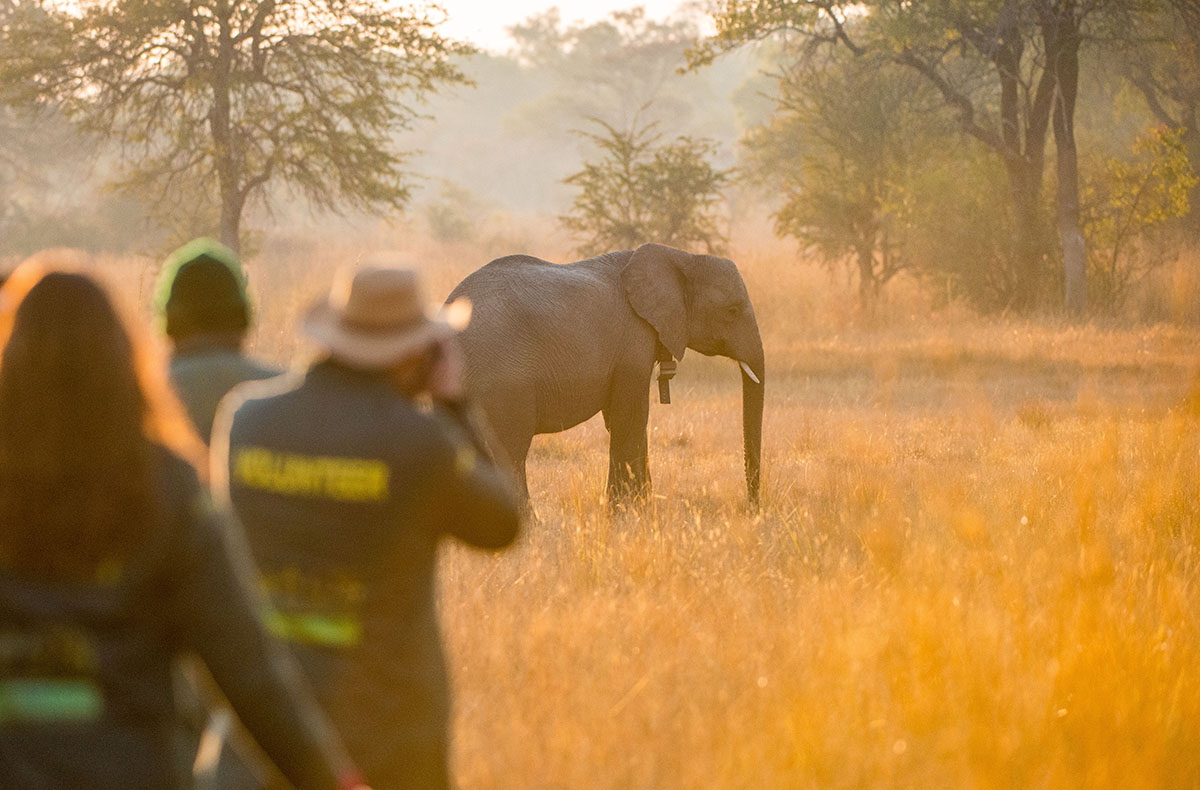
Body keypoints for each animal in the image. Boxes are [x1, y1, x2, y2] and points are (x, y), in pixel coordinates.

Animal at [446, 240, 763, 506]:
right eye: (732, 311)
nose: (752, 507)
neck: (681, 257)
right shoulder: (633, 341)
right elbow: (630, 418)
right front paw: (626, 513)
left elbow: (622, 419)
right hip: (504, 382)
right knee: (509, 452)